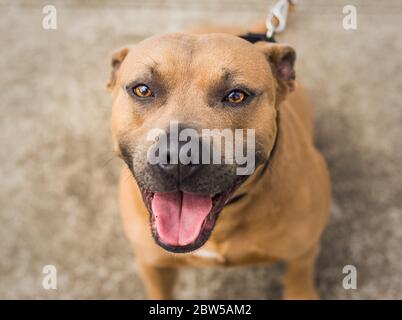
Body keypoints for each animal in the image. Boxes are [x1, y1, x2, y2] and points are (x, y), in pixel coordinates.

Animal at [106, 26, 330, 298]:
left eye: (236, 96)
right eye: (143, 90)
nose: (179, 156)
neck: (226, 218)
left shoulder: (302, 256)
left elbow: (299, 282)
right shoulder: (153, 265)